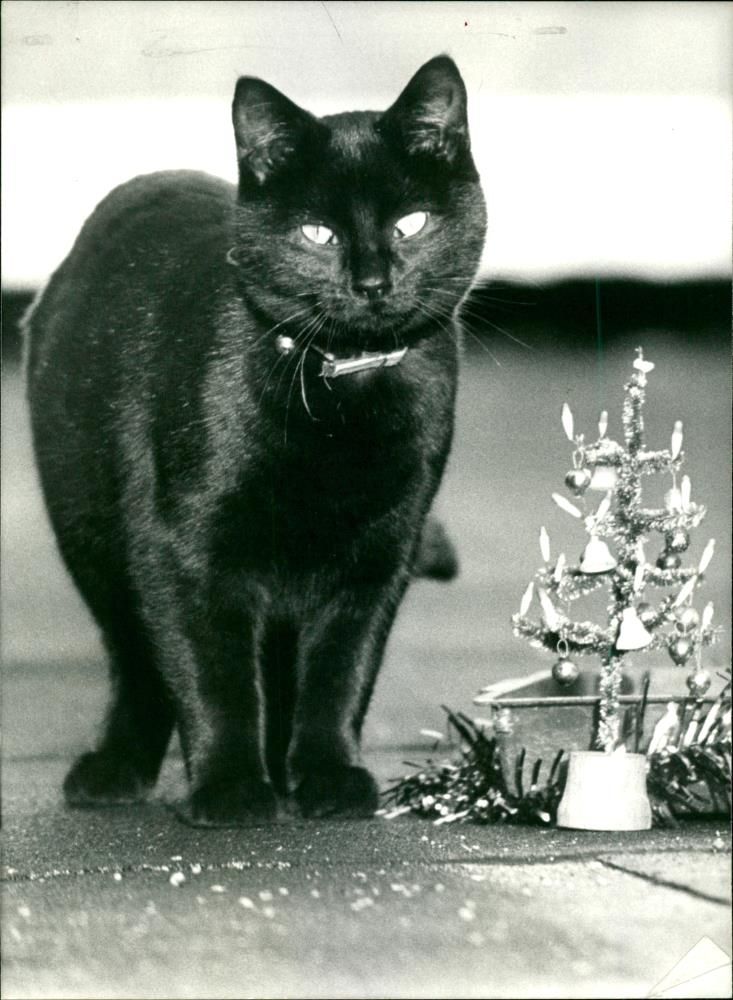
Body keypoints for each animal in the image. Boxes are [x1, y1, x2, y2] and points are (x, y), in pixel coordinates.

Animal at [25, 54, 486, 824]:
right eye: (317, 234)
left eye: (411, 223)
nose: (372, 282)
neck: (341, 393)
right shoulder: (182, 550)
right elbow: (209, 673)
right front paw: (232, 788)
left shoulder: (378, 556)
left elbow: (341, 672)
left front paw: (327, 775)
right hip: (89, 533)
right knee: (137, 655)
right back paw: (116, 767)